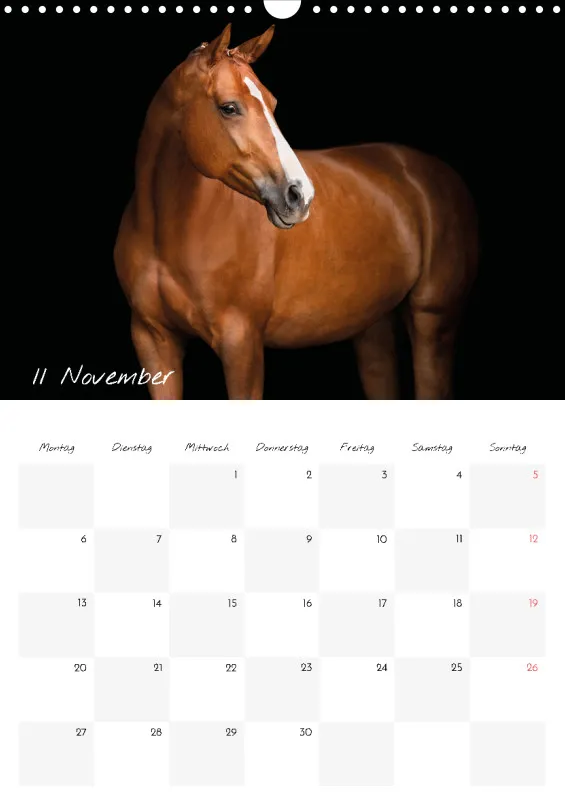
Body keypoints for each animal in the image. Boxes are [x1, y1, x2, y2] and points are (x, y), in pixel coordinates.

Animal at [114, 23, 478, 400]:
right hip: (373, 325)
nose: (300, 195)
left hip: (433, 321)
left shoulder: (241, 344)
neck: (166, 230)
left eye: (272, 103)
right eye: (229, 107)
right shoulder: (154, 341)